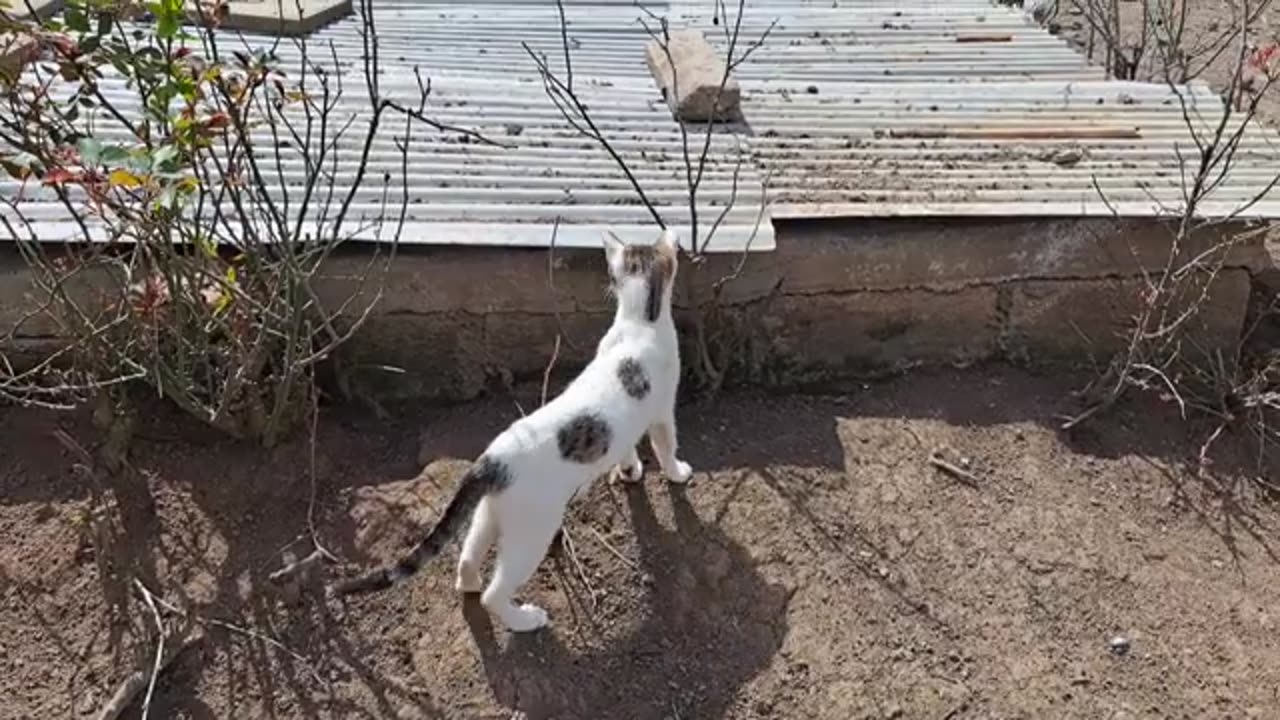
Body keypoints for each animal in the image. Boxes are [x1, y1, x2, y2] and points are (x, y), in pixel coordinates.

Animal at [330, 226, 691, 630]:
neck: (639, 324)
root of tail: (491, 461)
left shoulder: (631, 419)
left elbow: (627, 445)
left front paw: (629, 470)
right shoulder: (663, 411)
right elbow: (666, 446)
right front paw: (677, 473)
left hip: (490, 515)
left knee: (467, 557)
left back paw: (468, 584)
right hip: (532, 533)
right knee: (494, 592)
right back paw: (525, 619)